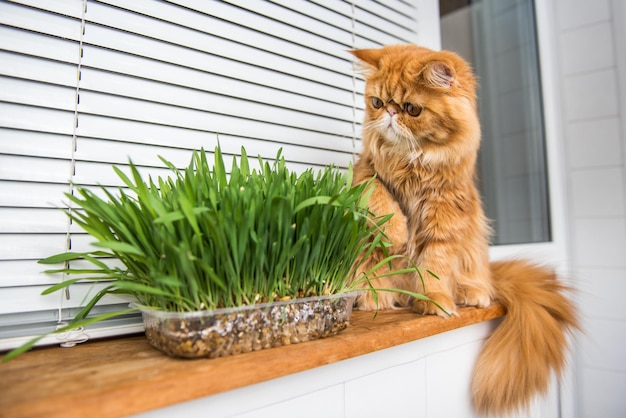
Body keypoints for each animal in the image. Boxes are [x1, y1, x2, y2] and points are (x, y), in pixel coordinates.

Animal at [348, 44, 576, 416]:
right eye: (377, 103)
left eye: (411, 109)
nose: (390, 114)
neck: (412, 160)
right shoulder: (366, 173)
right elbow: (381, 202)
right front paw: (396, 234)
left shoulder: (446, 212)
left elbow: (434, 265)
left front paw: (433, 301)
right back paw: (374, 297)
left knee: (472, 281)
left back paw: (471, 293)